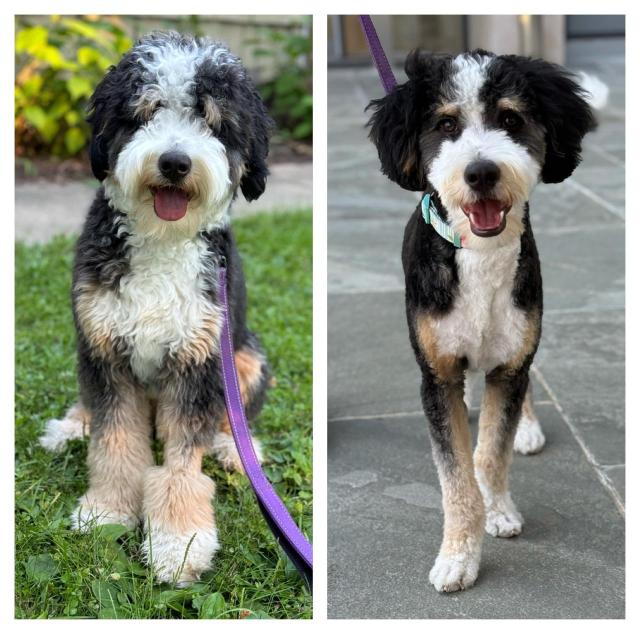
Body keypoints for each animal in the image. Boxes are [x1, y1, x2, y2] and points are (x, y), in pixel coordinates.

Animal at [37, 29, 272, 584]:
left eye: (211, 119)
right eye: (146, 111)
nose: (174, 163)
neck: (162, 241)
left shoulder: (200, 359)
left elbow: (181, 465)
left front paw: (178, 544)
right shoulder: (103, 347)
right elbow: (115, 444)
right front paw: (107, 509)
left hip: (246, 356)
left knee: (233, 416)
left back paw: (237, 449)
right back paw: (73, 424)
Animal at [368, 50, 604, 592]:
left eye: (511, 120)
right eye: (446, 125)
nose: (480, 173)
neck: (480, 254)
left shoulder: (511, 359)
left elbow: (490, 455)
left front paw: (497, 511)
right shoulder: (436, 377)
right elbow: (456, 479)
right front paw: (457, 555)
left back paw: (529, 428)